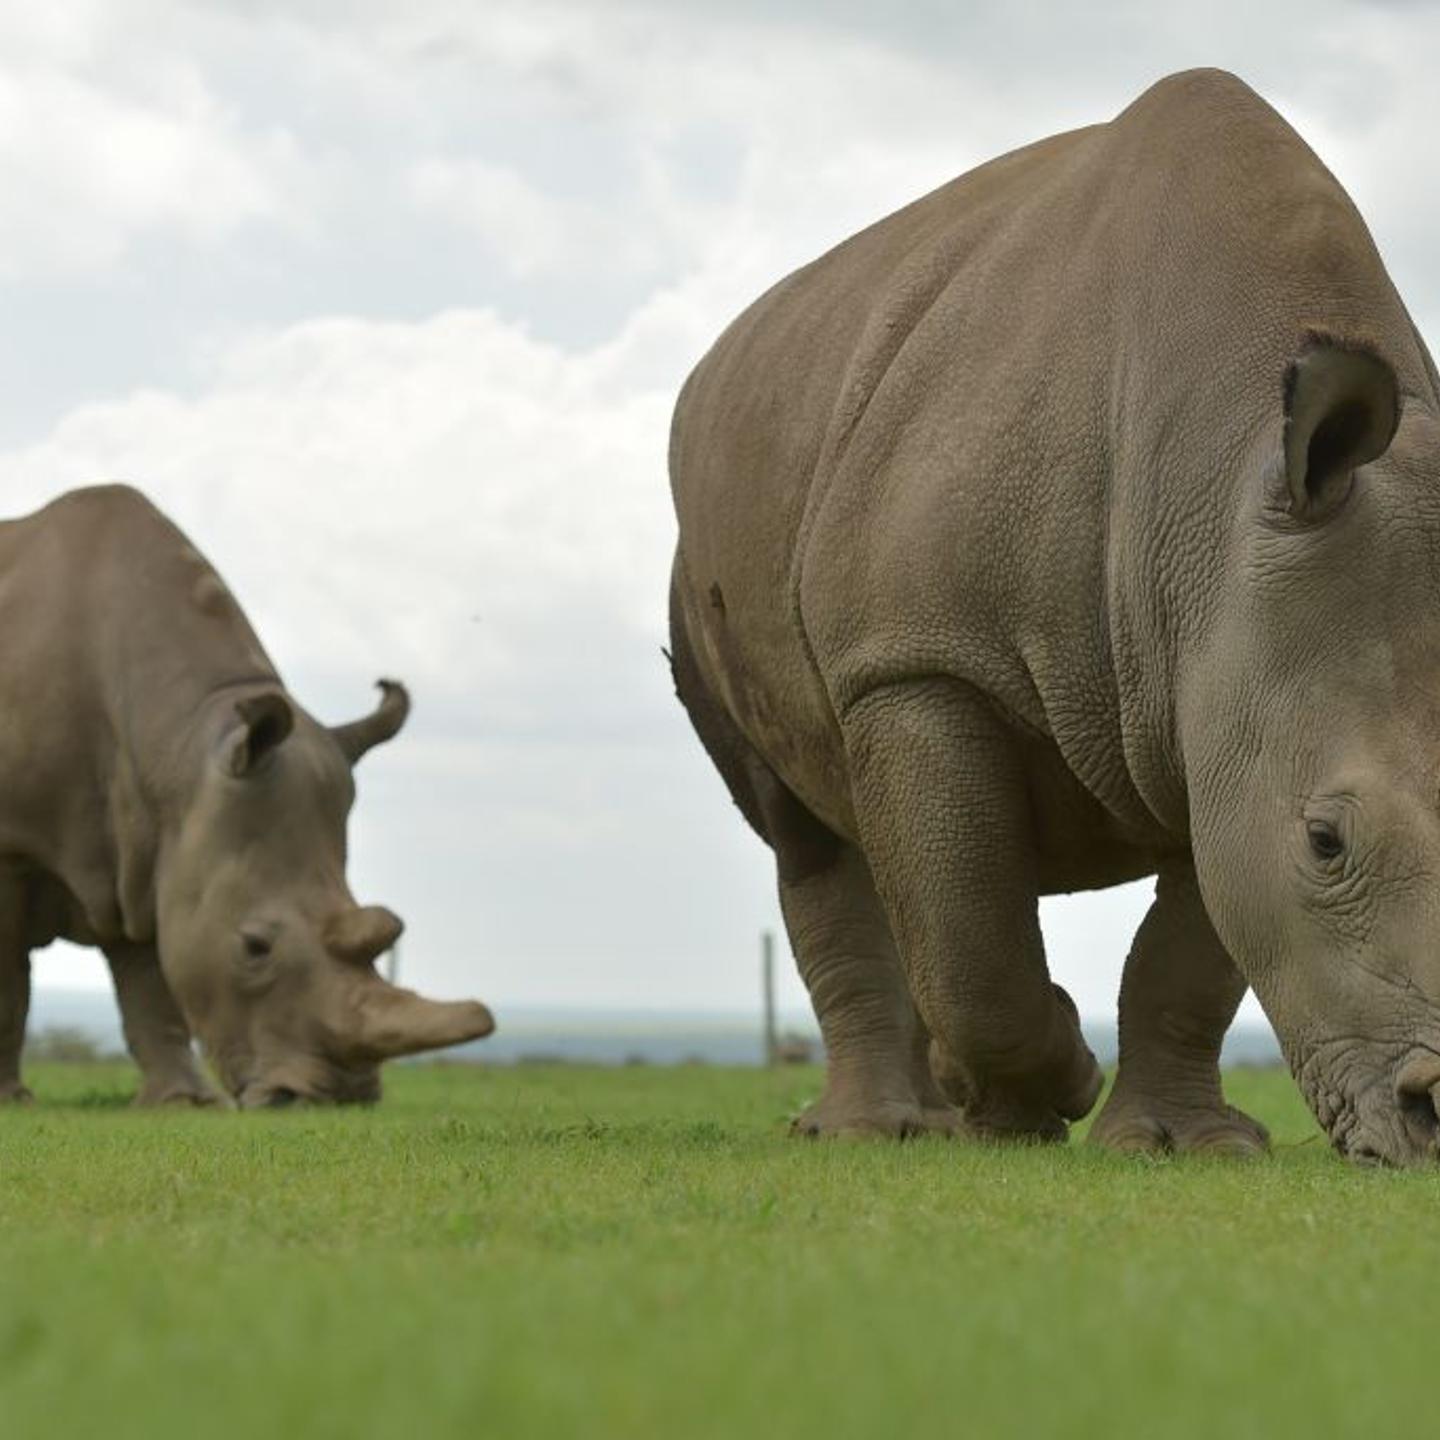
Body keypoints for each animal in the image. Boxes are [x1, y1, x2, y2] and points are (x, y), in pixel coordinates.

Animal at [0, 484, 494, 1107]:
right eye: (254, 947)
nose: (338, 1098)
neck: (178, 744)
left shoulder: (150, 850)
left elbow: (151, 981)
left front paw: (182, 1103)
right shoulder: (16, 845)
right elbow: (9, 986)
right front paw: (11, 1100)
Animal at [669, 68, 1440, 1165]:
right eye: (1326, 843)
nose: (1436, 1117)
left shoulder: (1220, 687)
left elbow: (1186, 956)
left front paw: (1182, 1145)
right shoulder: (918, 659)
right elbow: (972, 929)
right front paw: (1042, 1094)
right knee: (811, 834)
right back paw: (877, 1132)